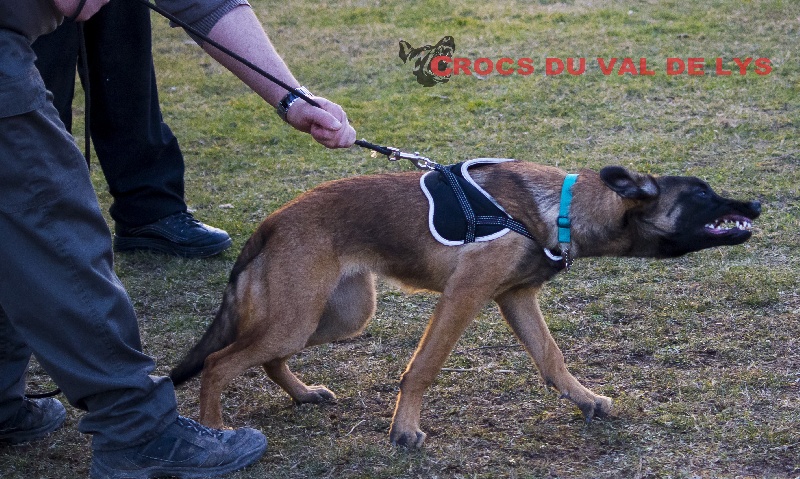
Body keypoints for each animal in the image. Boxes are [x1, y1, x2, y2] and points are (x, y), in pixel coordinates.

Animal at [170, 161, 764, 450]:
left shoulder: (515, 298)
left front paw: (585, 399)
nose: (758, 202)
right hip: (300, 317)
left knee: (266, 357)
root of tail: (273, 221)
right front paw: (404, 431)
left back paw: (302, 394)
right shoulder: (465, 297)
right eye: (703, 195)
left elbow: (551, 359)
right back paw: (216, 430)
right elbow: (423, 368)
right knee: (220, 362)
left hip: (337, 315)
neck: (559, 208)